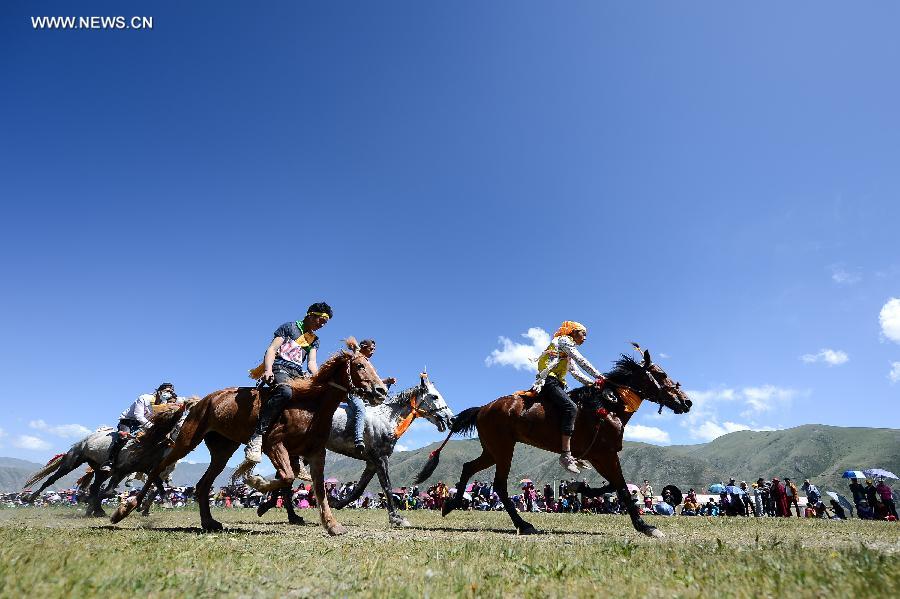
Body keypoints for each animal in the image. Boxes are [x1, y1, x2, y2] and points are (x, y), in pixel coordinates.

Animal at [21, 406, 187, 516]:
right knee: (51, 480)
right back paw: (29, 497)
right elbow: (109, 491)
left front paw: (164, 502)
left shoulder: (149, 469)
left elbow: (158, 485)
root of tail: (81, 442)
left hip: (101, 471)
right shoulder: (122, 470)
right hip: (71, 462)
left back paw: (96, 510)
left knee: (94, 487)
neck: (146, 443)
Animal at [110, 340, 386, 536]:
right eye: (360, 366)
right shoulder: (274, 443)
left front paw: (332, 525)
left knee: (202, 485)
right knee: (158, 468)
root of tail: (201, 401)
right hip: (187, 440)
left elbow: (318, 489)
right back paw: (122, 511)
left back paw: (208, 521)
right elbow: (287, 477)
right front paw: (257, 484)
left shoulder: (315, 453)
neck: (311, 405)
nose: (381, 390)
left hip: (222, 450)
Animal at [258, 372, 458, 528]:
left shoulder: (371, 462)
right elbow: (387, 486)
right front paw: (396, 518)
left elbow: (358, 490)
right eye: (434, 396)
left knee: (284, 479)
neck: (385, 419)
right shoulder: (380, 458)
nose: (451, 419)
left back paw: (282, 512)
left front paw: (337, 502)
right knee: (284, 480)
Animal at [418, 346, 692, 540]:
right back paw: (523, 524)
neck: (609, 405)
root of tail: (483, 408)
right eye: (661, 374)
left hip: (493, 450)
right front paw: (645, 526)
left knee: (468, 468)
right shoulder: (604, 454)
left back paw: (451, 504)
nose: (687, 402)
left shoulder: (599, 456)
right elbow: (623, 488)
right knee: (500, 485)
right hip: (504, 449)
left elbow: (614, 487)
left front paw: (579, 487)